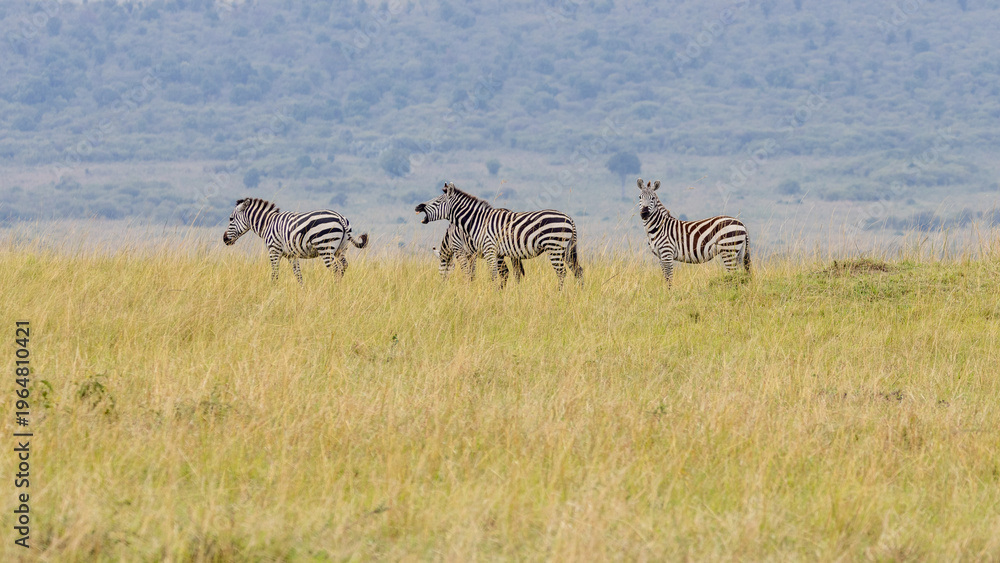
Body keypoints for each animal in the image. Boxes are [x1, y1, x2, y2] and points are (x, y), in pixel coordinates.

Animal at [222, 198, 368, 284]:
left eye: (230, 219)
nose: (224, 239)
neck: (267, 224)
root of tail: (340, 217)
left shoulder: (274, 251)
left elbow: (275, 273)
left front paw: (272, 291)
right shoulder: (292, 255)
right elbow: (298, 274)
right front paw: (302, 291)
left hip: (325, 247)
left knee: (336, 269)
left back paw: (334, 290)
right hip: (341, 248)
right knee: (344, 266)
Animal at [415, 182, 583, 289]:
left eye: (437, 202)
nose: (418, 206)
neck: (478, 221)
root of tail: (569, 218)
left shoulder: (481, 250)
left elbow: (491, 275)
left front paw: (492, 294)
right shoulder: (490, 253)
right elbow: (493, 274)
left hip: (554, 247)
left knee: (561, 273)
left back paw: (560, 295)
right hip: (566, 249)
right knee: (578, 270)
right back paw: (579, 294)